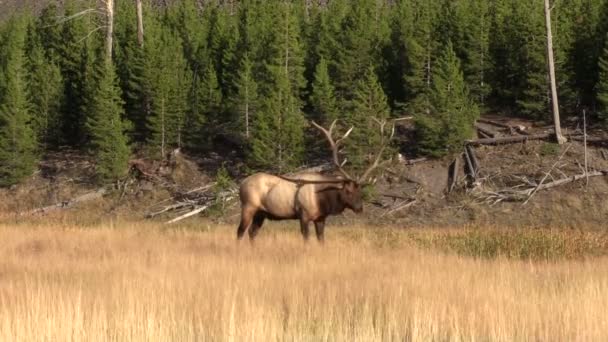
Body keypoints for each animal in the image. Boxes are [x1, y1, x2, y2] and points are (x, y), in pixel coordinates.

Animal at [235, 119, 392, 242]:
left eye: (360, 191)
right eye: (348, 191)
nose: (360, 208)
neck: (323, 199)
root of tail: (241, 184)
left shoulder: (320, 218)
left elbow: (321, 239)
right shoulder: (303, 215)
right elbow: (306, 239)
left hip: (261, 213)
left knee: (252, 233)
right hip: (248, 206)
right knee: (240, 232)